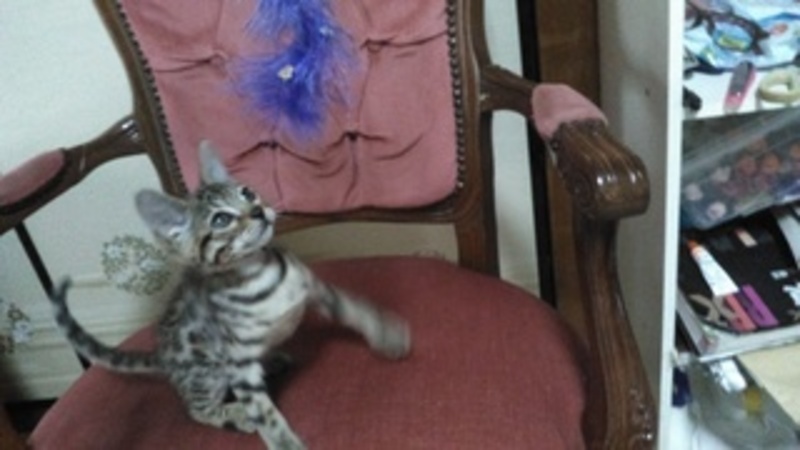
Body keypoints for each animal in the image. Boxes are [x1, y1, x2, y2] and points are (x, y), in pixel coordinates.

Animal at [49, 141, 411, 450]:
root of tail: (163, 355)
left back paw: (273, 360)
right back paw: (236, 413)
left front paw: (386, 334)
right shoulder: (238, 365)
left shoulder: (316, 290)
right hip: (208, 371)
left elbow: (355, 308)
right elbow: (265, 414)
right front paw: (284, 441)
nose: (258, 211)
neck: (260, 275)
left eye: (247, 192)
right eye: (221, 219)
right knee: (198, 410)